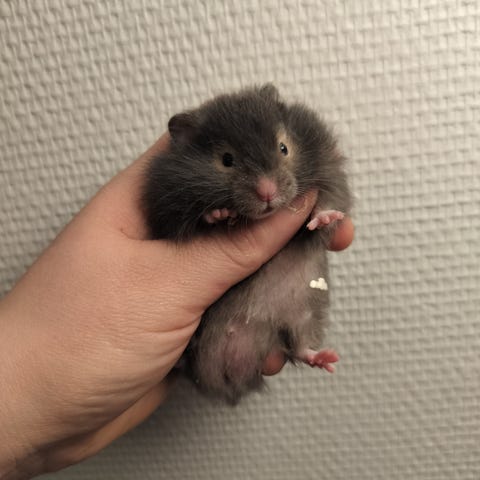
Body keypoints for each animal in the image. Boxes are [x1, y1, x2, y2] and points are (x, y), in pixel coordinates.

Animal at [142, 84, 352, 403]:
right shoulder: (167, 211)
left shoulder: (329, 168)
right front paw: (220, 215)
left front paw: (323, 218)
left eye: (283, 148)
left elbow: (328, 203)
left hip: (303, 314)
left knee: (300, 346)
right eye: (227, 160)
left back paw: (327, 359)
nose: (268, 193)